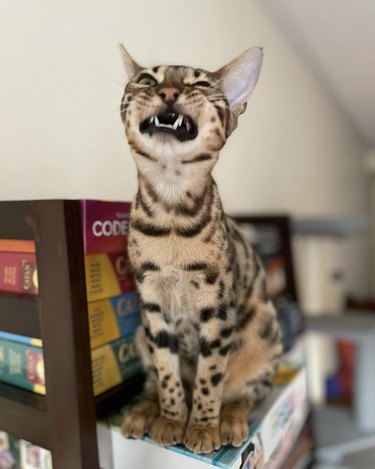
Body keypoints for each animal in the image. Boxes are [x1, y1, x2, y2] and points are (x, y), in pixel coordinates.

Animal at [119, 44, 282, 454]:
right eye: (146, 79)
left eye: (202, 84)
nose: (168, 92)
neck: (172, 216)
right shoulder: (152, 305)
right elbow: (167, 372)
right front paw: (171, 419)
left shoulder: (217, 308)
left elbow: (211, 377)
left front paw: (203, 427)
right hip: (140, 332)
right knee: (152, 380)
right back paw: (143, 412)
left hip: (266, 335)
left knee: (244, 393)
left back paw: (232, 421)